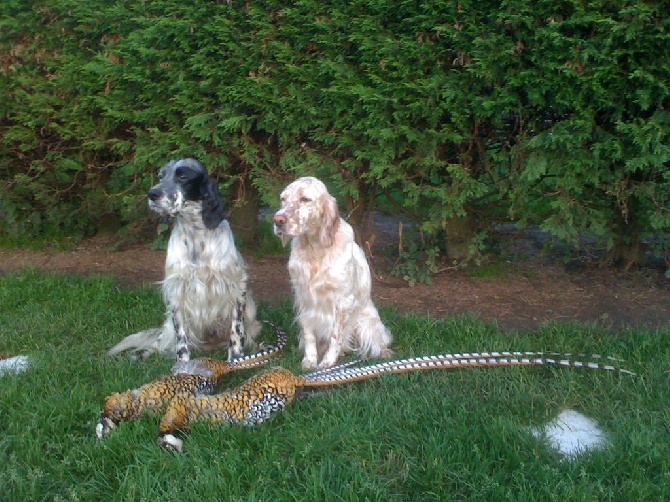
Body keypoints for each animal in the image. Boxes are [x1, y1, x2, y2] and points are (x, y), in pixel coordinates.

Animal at [109, 159, 262, 358]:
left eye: (182, 176)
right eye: (161, 176)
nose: (152, 194)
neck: (196, 234)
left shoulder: (236, 286)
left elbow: (237, 332)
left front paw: (236, 358)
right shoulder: (177, 290)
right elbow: (181, 339)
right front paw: (183, 363)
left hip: (251, 310)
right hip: (167, 324)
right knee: (159, 343)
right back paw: (141, 354)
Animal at [272, 176, 392, 368]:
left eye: (305, 199)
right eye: (283, 199)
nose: (278, 220)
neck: (315, 250)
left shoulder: (343, 301)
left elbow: (336, 336)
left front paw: (327, 362)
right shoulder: (304, 299)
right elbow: (309, 334)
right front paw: (310, 360)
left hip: (365, 322)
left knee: (379, 340)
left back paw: (384, 352)